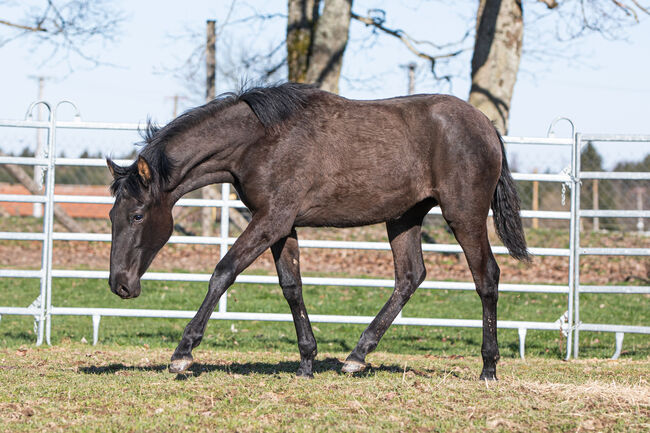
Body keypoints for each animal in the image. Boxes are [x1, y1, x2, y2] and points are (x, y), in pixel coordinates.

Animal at [105, 81, 528, 378]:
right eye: (112, 216)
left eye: (138, 215)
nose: (120, 285)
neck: (261, 139)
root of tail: (486, 125)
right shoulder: (281, 224)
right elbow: (291, 286)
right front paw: (307, 361)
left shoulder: (271, 218)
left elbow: (223, 271)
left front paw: (182, 354)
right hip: (404, 217)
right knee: (410, 277)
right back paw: (356, 357)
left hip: (464, 216)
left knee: (486, 277)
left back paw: (488, 368)